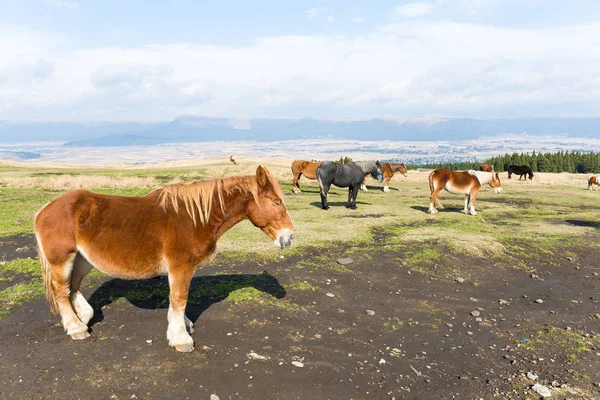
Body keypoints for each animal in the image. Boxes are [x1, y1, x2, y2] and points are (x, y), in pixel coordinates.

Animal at [34, 167, 292, 352]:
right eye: (276, 202)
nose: (289, 236)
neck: (195, 217)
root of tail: (44, 210)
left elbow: (177, 301)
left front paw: (183, 326)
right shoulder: (181, 267)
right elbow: (179, 299)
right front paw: (181, 339)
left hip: (82, 260)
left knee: (73, 286)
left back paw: (84, 316)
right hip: (62, 260)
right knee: (61, 291)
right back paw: (75, 327)